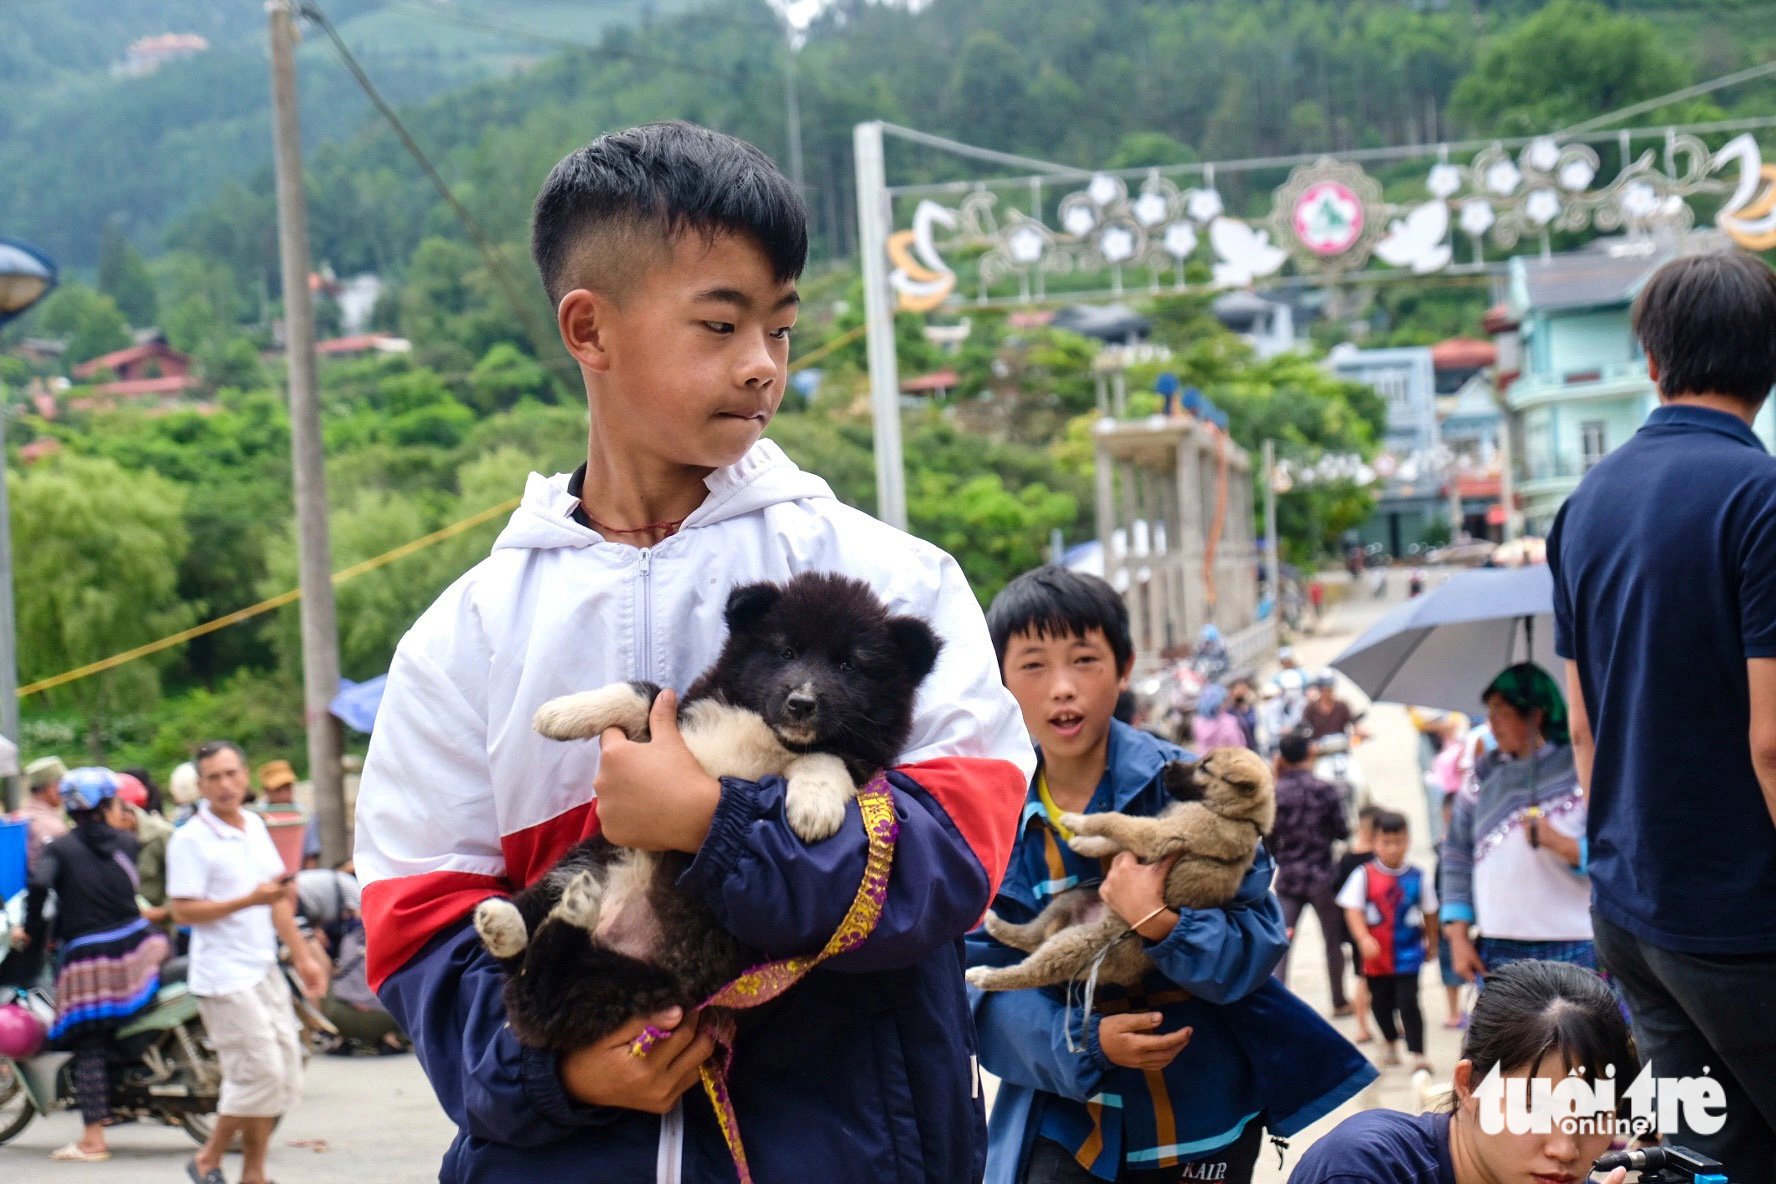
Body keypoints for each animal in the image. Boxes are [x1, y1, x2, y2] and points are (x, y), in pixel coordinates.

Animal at [472, 578, 944, 1050]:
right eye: (785, 652)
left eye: (848, 665)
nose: (801, 702)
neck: (768, 734)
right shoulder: (675, 723)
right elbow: (641, 693)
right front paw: (561, 713)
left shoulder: (862, 759)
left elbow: (827, 756)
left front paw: (814, 806)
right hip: (585, 864)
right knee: (524, 965)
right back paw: (508, 920)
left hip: (628, 983)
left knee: (536, 994)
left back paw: (568, 914)